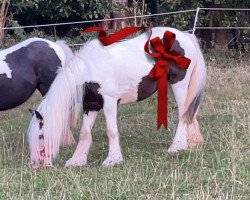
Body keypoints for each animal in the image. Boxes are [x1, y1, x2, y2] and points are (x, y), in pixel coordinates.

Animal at [27, 27, 207, 169]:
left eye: (41, 136)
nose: (36, 164)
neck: (89, 69)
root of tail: (185, 36)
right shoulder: (91, 105)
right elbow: (85, 133)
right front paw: (77, 161)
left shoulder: (109, 102)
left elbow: (111, 131)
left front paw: (113, 160)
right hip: (171, 88)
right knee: (191, 113)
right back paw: (192, 143)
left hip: (179, 85)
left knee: (183, 114)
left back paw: (177, 147)